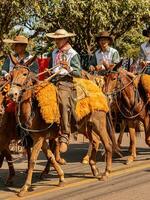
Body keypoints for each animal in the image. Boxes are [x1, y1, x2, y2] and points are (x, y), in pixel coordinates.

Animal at [7, 64, 118, 197]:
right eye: (11, 75)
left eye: (24, 74)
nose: (12, 94)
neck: (34, 106)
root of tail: (99, 92)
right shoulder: (39, 138)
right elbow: (50, 156)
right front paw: (61, 177)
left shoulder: (39, 138)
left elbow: (33, 160)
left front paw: (24, 187)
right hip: (85, 126)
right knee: (95, 141)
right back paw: (94, 168)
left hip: (98, 123)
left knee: (107, 144)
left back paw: (106, 173)